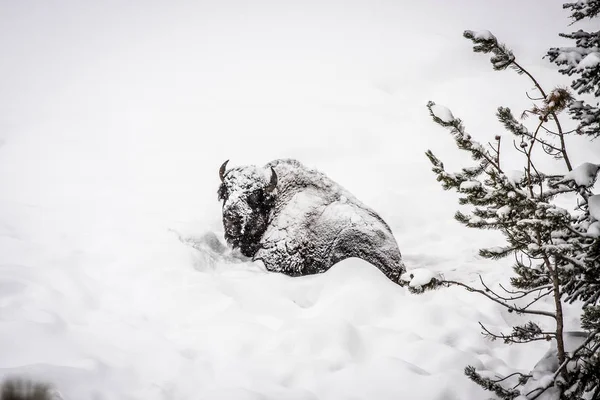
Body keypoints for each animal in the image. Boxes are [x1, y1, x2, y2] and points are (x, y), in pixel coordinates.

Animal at [218, 158, 406, 282]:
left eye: (255, 196)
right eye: (226, 192)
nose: (232, 216)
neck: (276, 200)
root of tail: (399, 265)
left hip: (347, 240)